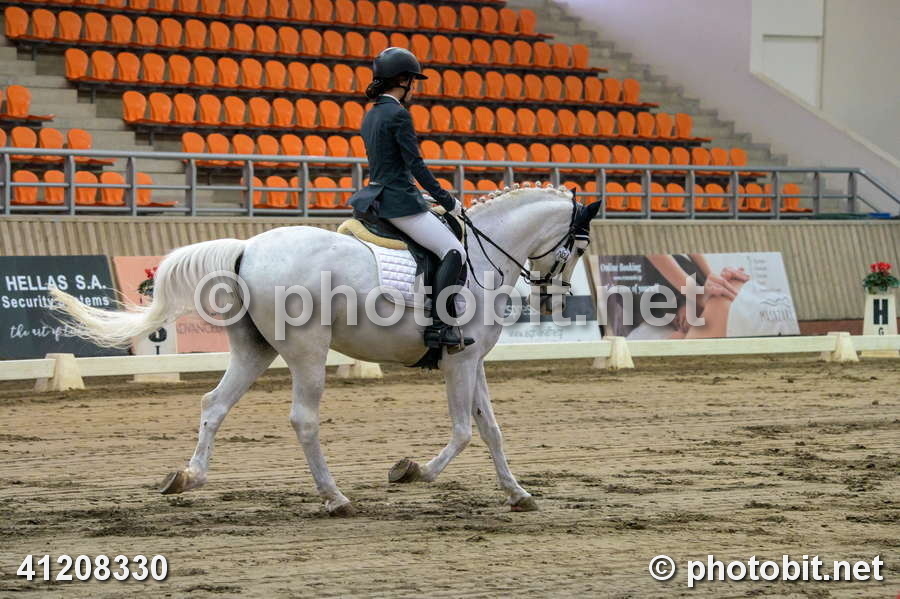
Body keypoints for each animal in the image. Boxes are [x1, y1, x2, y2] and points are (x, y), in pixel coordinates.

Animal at [50, 184, 601, 516]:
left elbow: (490, 429)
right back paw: (336, 498)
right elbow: (465, 431)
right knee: (303, 420)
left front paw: (518, 493)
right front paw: (412, 471)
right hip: (307, 352)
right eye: (579, 246)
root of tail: (246, 248)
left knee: (214, 404)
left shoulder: (473, 361)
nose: (554, 300)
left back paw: (187, 478)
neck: (483, 255)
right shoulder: (460, 360)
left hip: (254, 350)